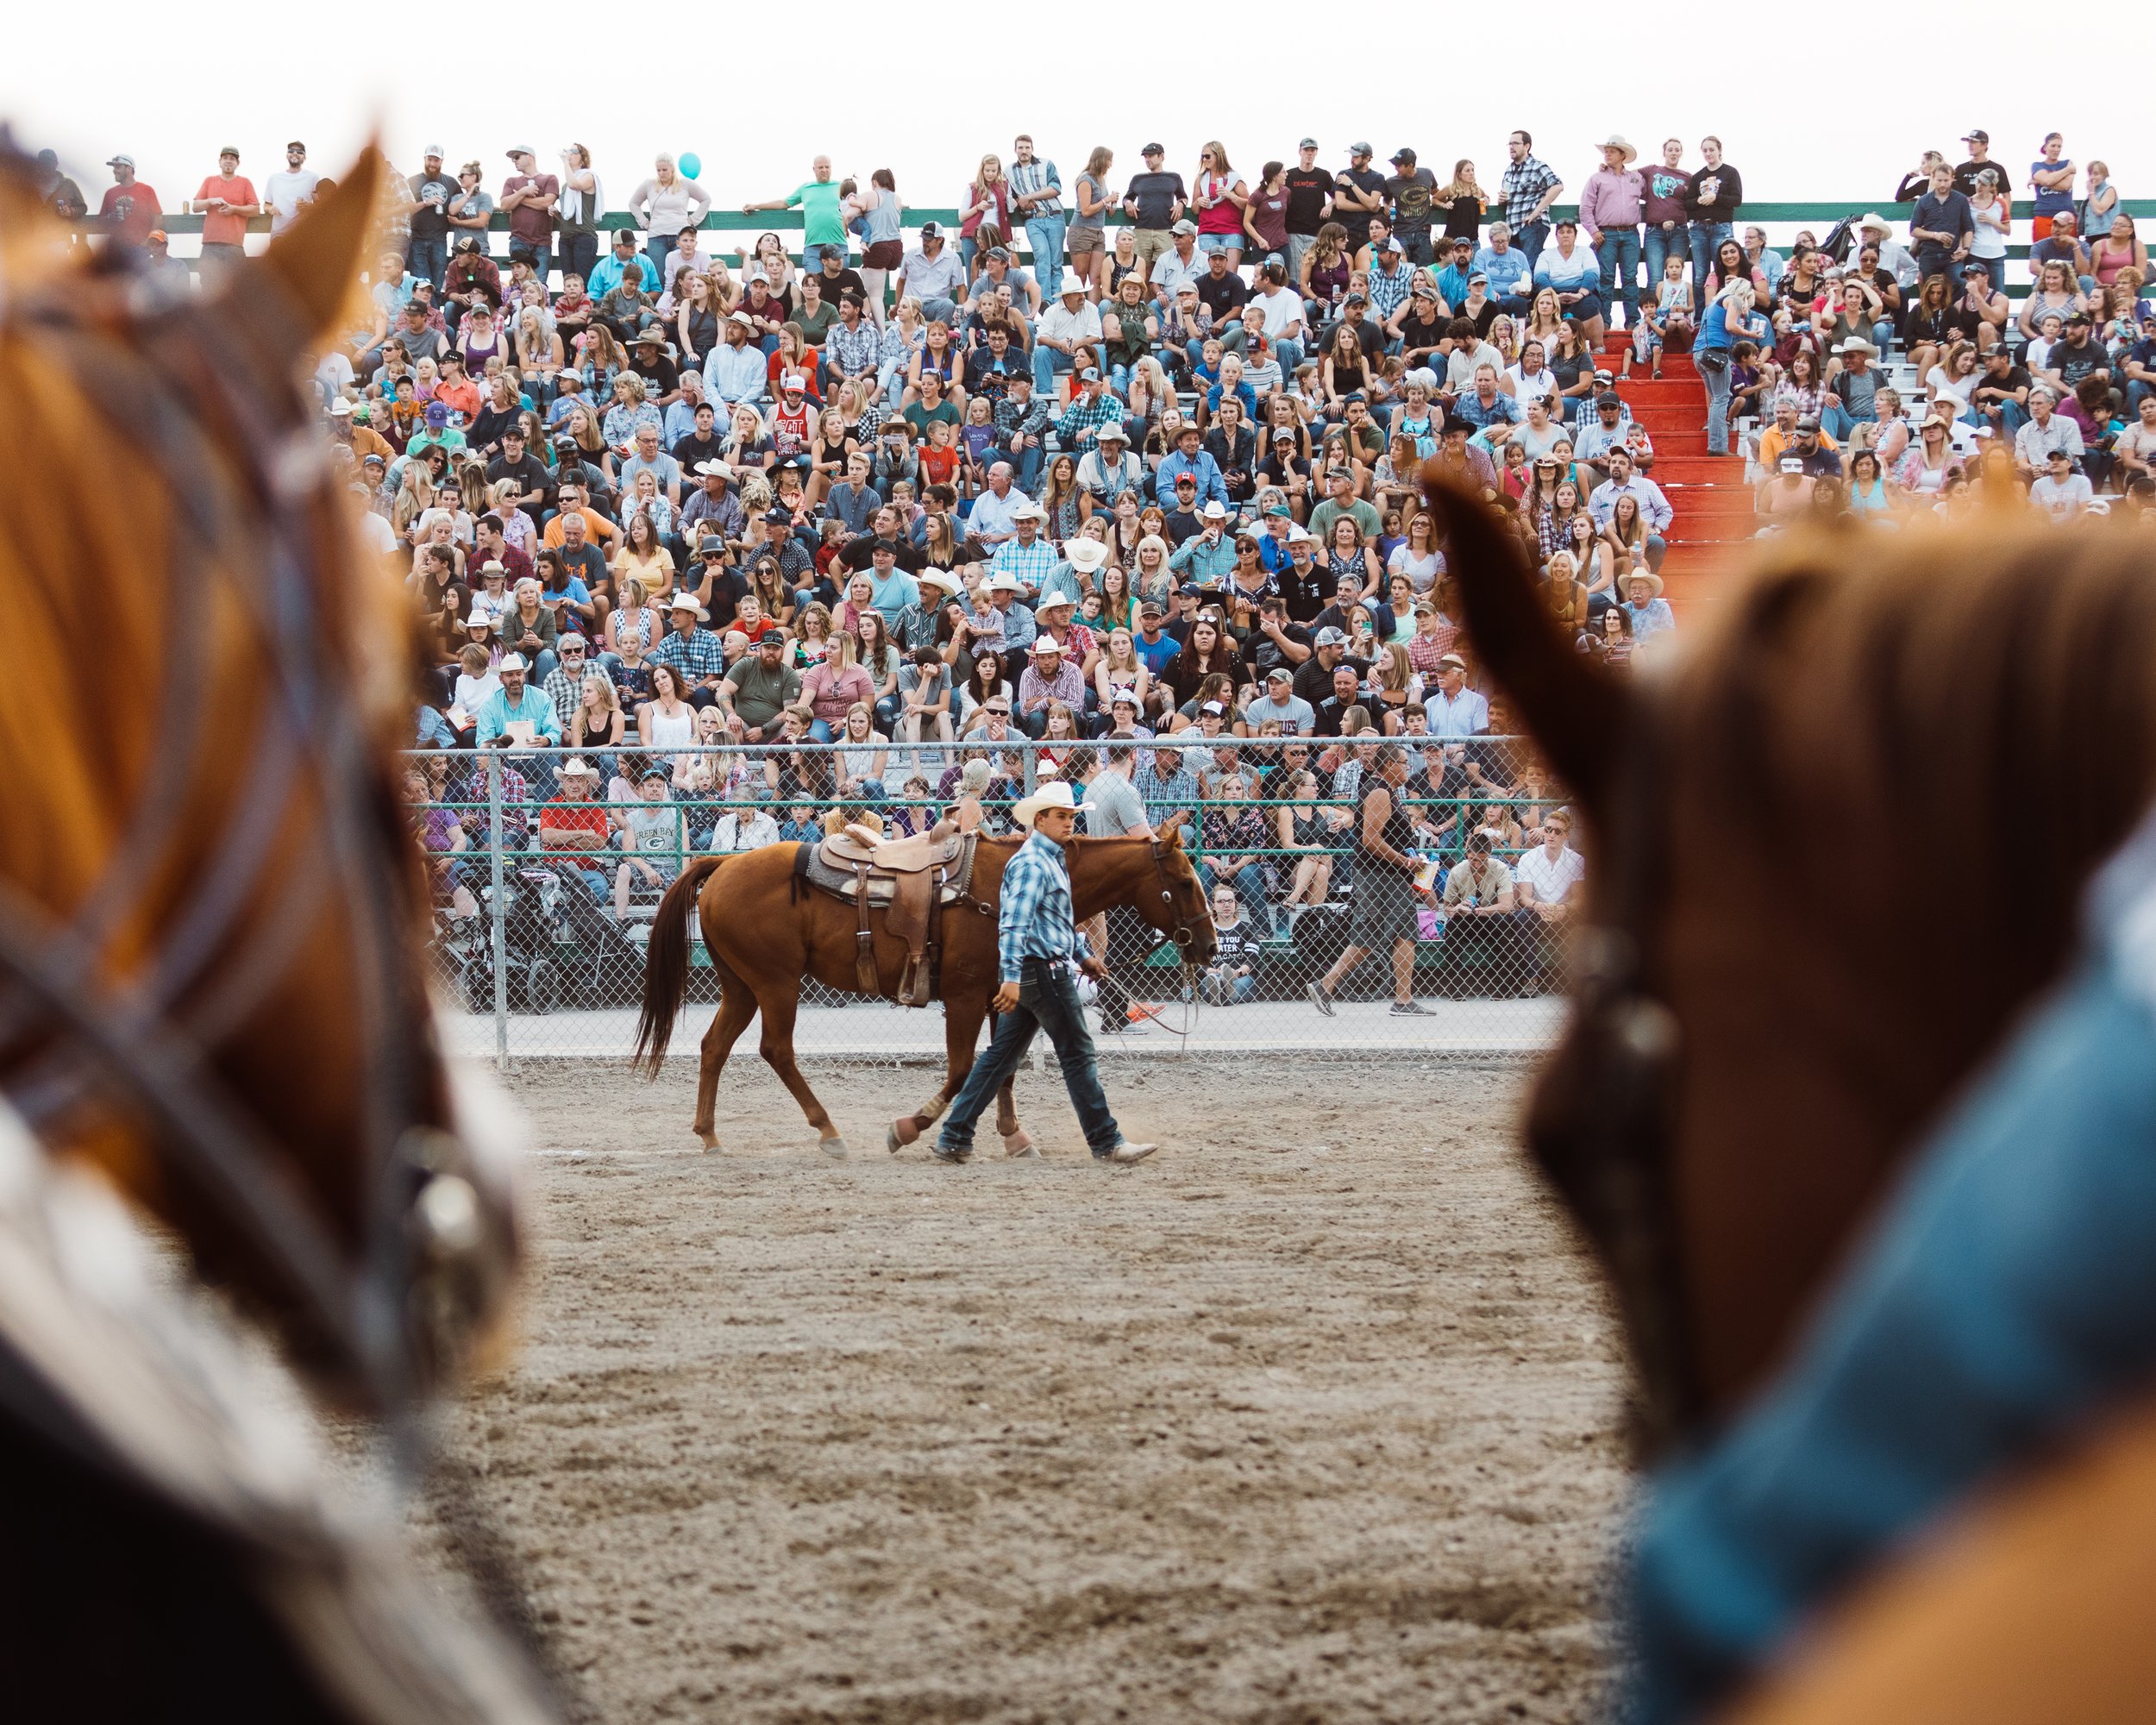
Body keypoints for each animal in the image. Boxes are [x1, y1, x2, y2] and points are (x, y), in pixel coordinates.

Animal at [634, 828, 1216, 1156]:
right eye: (1186, 882)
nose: (1210, 947)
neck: (1000, 883)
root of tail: (723, 865)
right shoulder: (962, 997)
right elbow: (962, 1069)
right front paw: (909, 1129)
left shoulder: (998, 995)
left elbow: (1002, 1067)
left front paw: (1013, 1136)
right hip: (776, 984)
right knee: (776, 1050)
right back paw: (828, 1131)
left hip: (742, 987)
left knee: (714, 1048)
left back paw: (710, 1136)